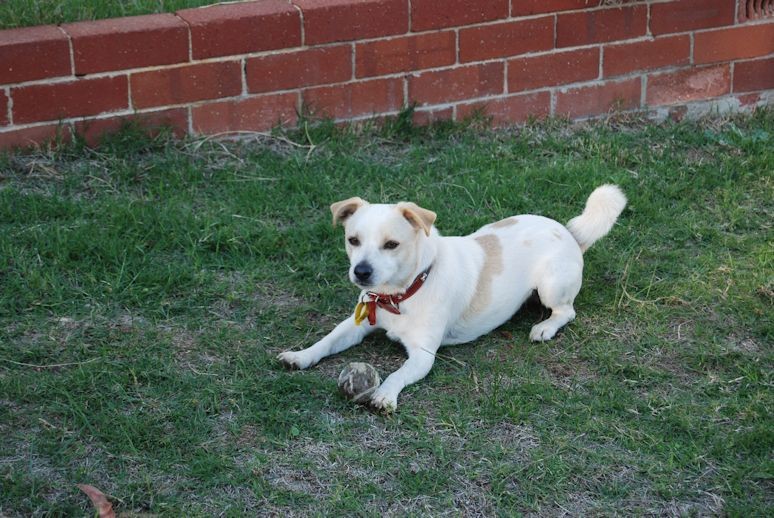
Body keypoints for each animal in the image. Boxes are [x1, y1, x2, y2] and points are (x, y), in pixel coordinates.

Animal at [278, 185, 626, 411]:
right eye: (353, 240)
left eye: (391, 244)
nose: (361, 272)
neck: (401, 295)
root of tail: (570, 234)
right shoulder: (356, 325)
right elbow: (326, 341)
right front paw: (301, 355)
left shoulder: (422, 355)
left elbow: (398, 373)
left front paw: (385, 395)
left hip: (551, 284)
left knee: (566, 312)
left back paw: (545, 327)